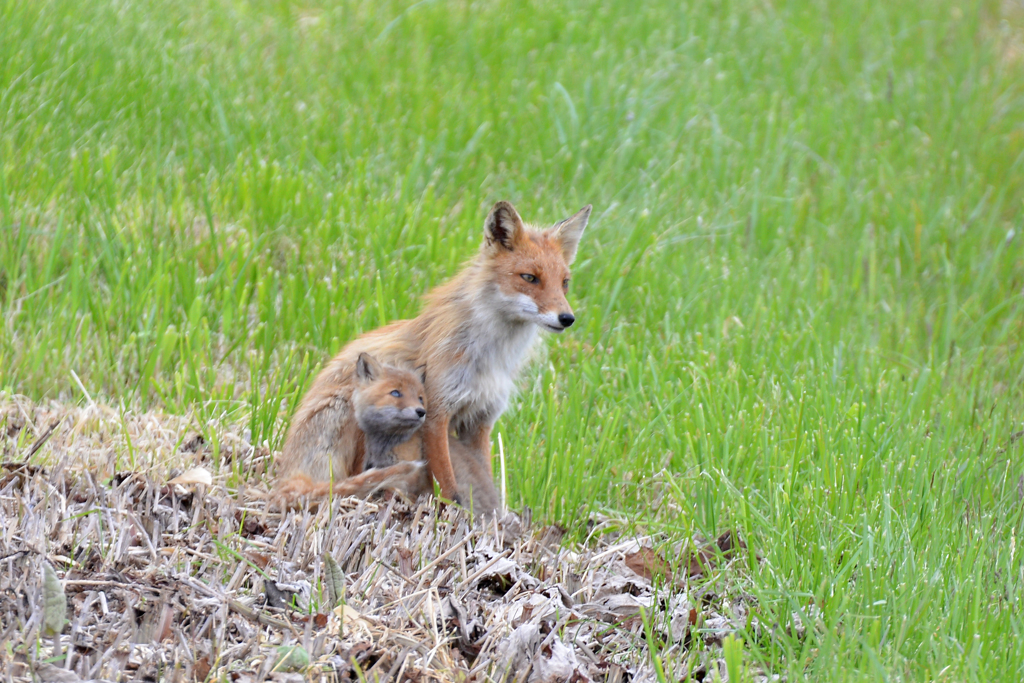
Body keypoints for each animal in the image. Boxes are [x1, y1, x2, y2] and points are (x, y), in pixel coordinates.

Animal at [280, 200, 589, 509]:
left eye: (565, 283)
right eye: (530, 278)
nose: (567, 318)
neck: (491, 356)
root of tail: (285, 472)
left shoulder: (481, 419)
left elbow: (482, 475)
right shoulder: (436, 412)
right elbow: (448, 483)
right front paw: (453, 509)